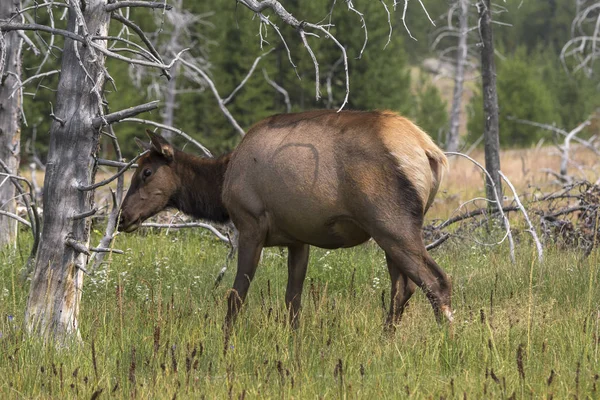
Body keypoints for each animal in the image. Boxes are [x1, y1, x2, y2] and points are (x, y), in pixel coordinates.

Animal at [119, 111, 452, 330]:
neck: (221, 182)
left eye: (146, 172)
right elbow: (293, 299)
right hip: (388, 232)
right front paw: (294, 341)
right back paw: (385, 340)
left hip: (392, 224)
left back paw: (446, 341)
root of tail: (430, 151)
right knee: (403, 289)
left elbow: (236, 295)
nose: (123, 217)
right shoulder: (298, 239)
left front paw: (226, 340)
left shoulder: (250, 225)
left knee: (437, 282)